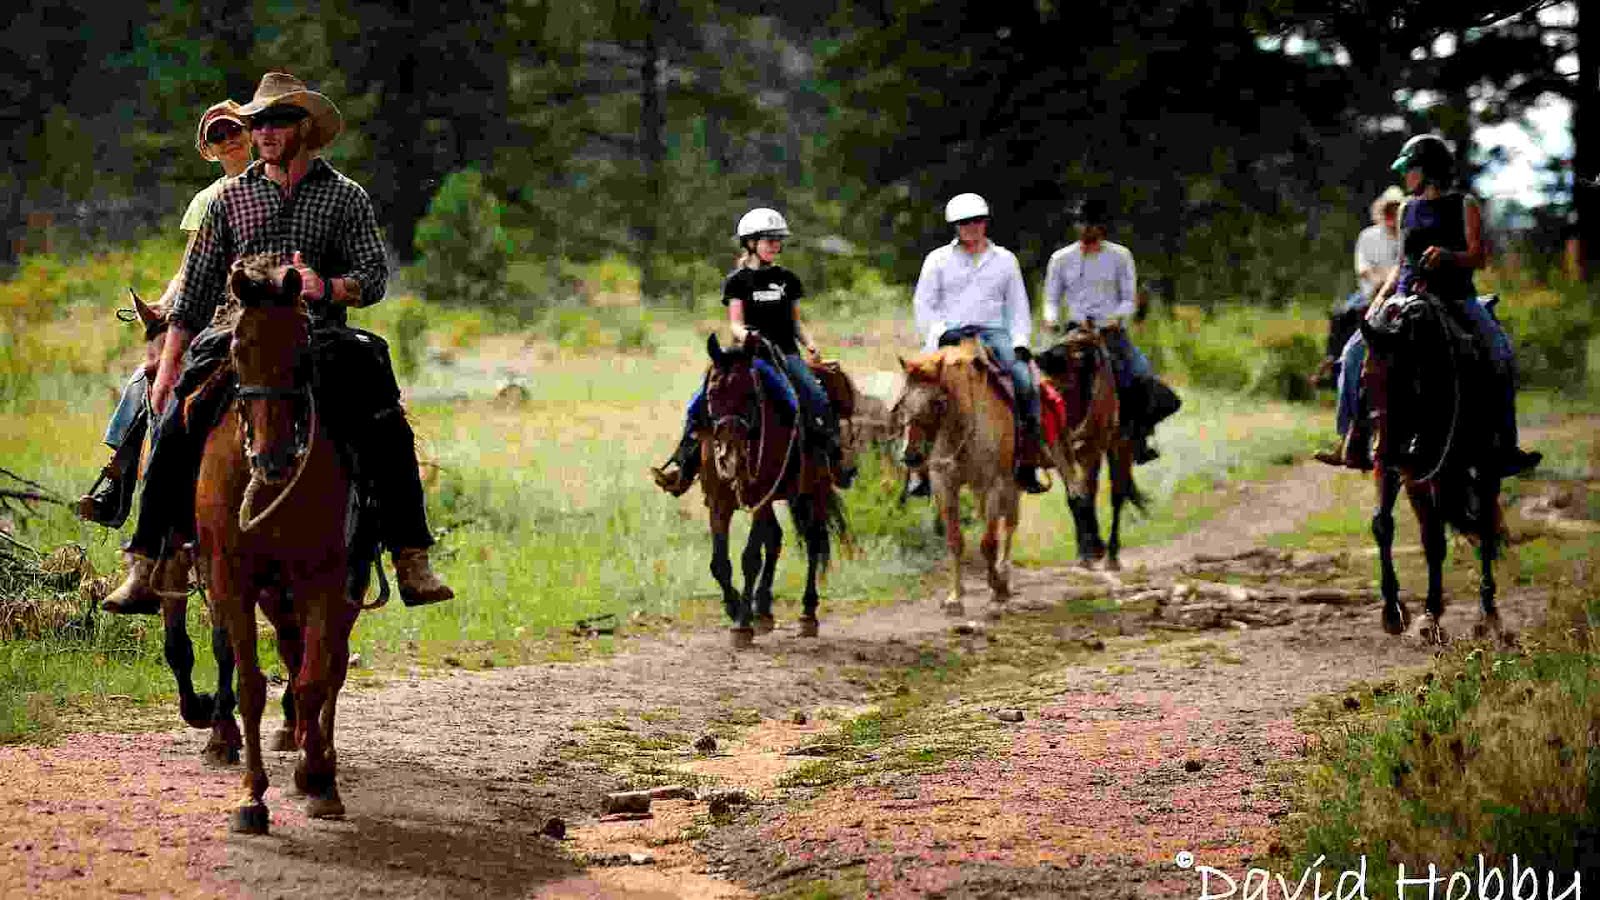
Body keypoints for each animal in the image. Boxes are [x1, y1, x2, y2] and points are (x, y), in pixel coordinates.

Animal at [195, 256, 363, 833]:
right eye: (237, 349)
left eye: (302, 352)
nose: (271, 461)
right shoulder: (232, 577)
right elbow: (250, 682)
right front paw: (252, 797)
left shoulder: (325, 578)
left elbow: (315, 679)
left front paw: (318, 781)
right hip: (273, 591)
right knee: (295, 655)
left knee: (330, 666)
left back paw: (320, 760)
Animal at [702, 333, 846, 648]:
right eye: (711, 394)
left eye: (750, 395)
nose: (729, 457)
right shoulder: (719, 501)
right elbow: (719, 563)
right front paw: (734, 608)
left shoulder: (760, 498)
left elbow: (750, 558)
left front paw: (742, 624)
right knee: (776, 539)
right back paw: (764, 610)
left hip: (814, 491)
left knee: (813, 542)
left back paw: (807, 615)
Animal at [894, 338, 1018, 615]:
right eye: (903, 402)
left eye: (937, 402)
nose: (912, 455)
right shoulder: (945, 484)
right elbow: (954, 540)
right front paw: (954, 597)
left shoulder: (993, 485)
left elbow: (988, 543)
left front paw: (997, 589)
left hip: (1011, 482)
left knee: (1010, 523)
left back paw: (1004, 575)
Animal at [1036, 325, 1143, 570]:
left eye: (1066, 361)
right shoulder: (1060, 452)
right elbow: (1075, 498)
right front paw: (1085, 552)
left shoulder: (1092, 450)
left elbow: (1087, 495)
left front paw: (1094, 549)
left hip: (1118, 447)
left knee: (1117, 496)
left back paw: (1112, 554)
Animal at [1358, 292, 1506, 645]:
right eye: (1365, 377)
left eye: (1404, 378)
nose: (1382, 448)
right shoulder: (1403, 469)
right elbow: (1384, 525)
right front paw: (1393, 612)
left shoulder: (1433, 468)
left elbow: (1438, 538)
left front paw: (1432, 615)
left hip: (1484, 465)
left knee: (1485, 526)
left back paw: (1488, 615)